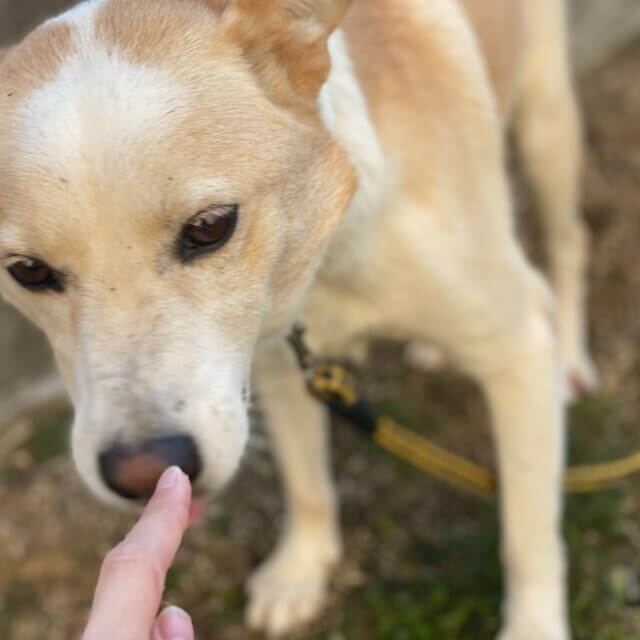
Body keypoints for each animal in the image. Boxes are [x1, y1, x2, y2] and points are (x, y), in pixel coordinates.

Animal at [0, 0, 596, 636]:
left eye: (210, 226)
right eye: (28, 271)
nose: (145, 473)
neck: (321, 262)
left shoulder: (519, 352)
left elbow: (527, 530)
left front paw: (533, 626)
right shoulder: (276, 369)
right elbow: (307, 480)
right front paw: (300, 569)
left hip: (547, 127)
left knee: (568, 243)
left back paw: (571, 358)